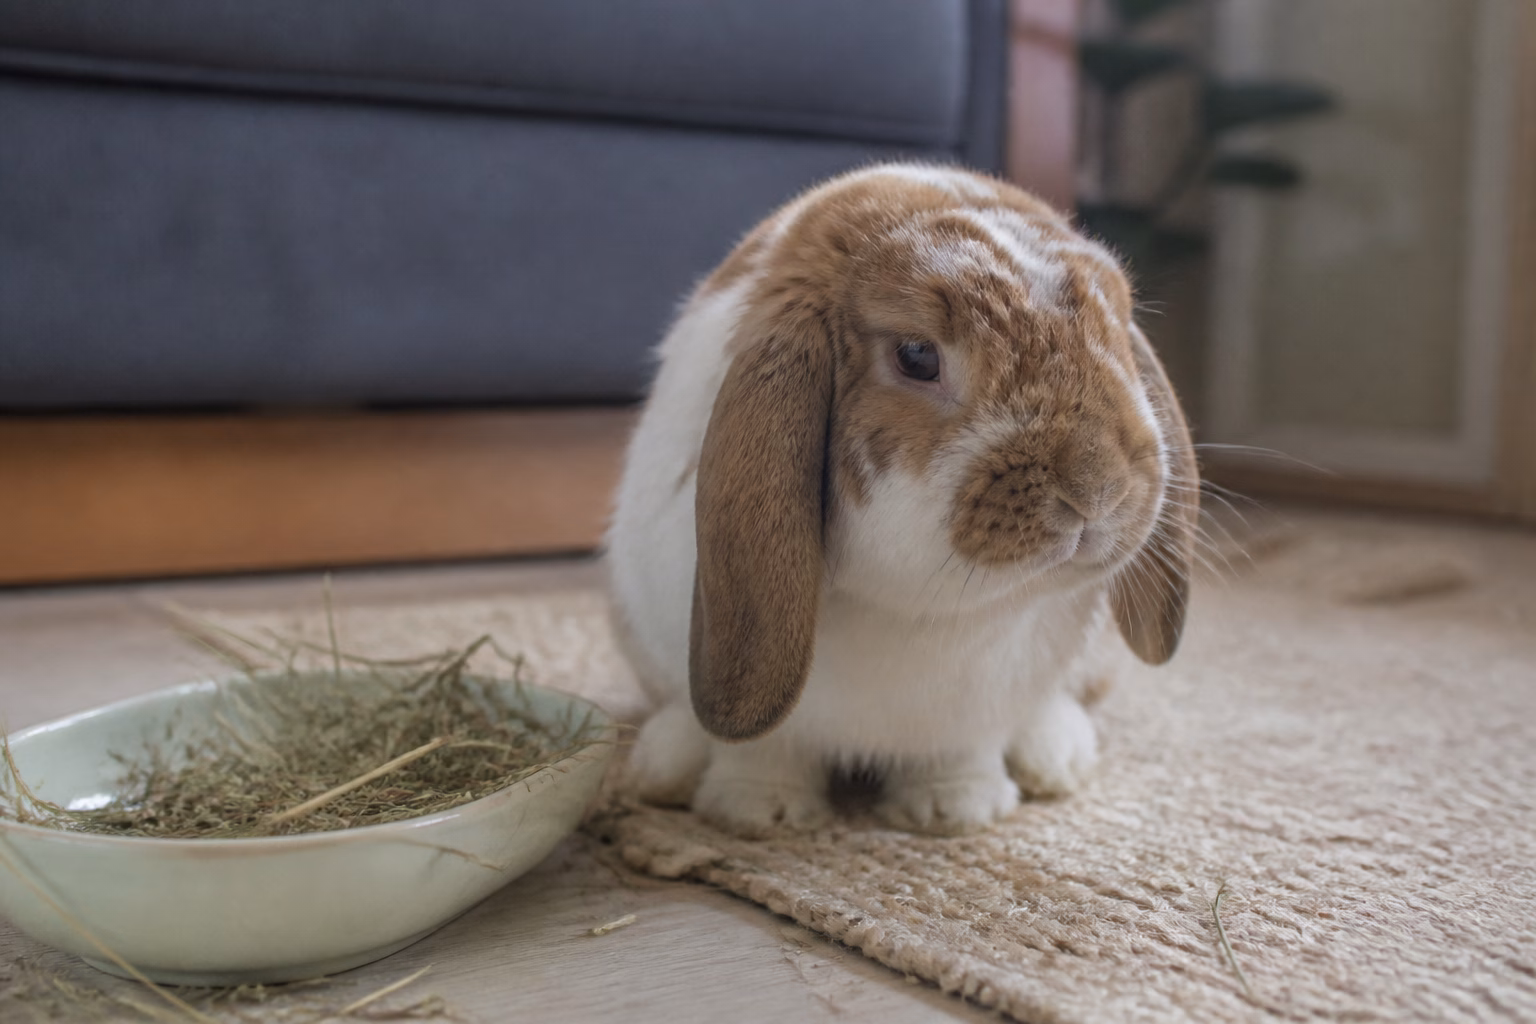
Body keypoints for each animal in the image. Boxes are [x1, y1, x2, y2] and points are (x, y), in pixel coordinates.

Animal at [606, 163, 1198, 836]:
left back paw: (1057, 759)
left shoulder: (975, 709)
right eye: (917, 357)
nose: (1098, 487)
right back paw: (663, 765)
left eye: (1116, 332)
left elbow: (962, 749)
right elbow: (760, 747)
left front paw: (953, 811)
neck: (923, 614)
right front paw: (761, 813)